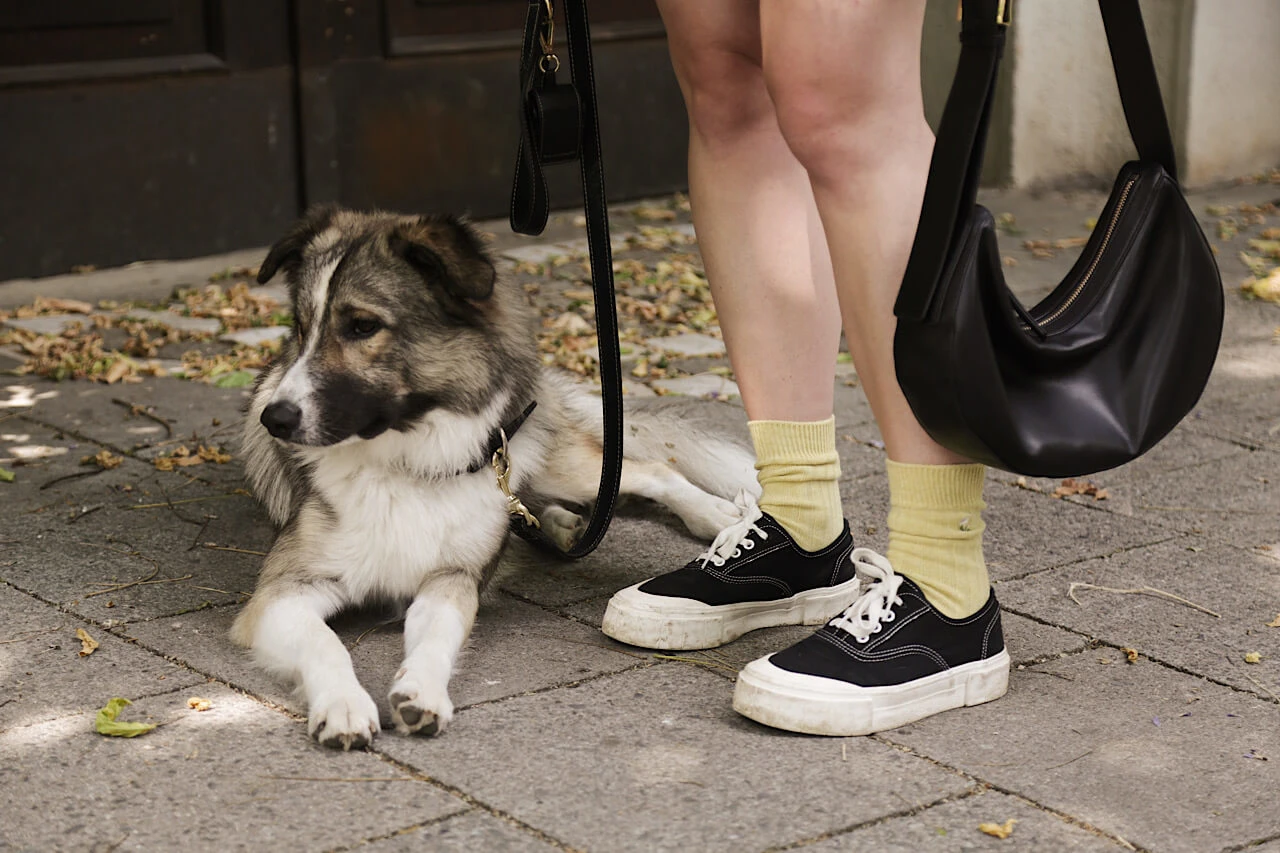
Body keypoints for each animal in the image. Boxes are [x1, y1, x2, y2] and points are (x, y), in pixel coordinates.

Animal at [230, 204, 757, 742]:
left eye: (361, 326)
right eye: (300, 328)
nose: (273, 419)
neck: (400, 462)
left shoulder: (452, 578)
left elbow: (437, 635)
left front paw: (420, 690)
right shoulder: (284, 592)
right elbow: (325, 643)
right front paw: (343, 703)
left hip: (555, 464)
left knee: (649, 469)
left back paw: (719, 517)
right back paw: (562, 527)